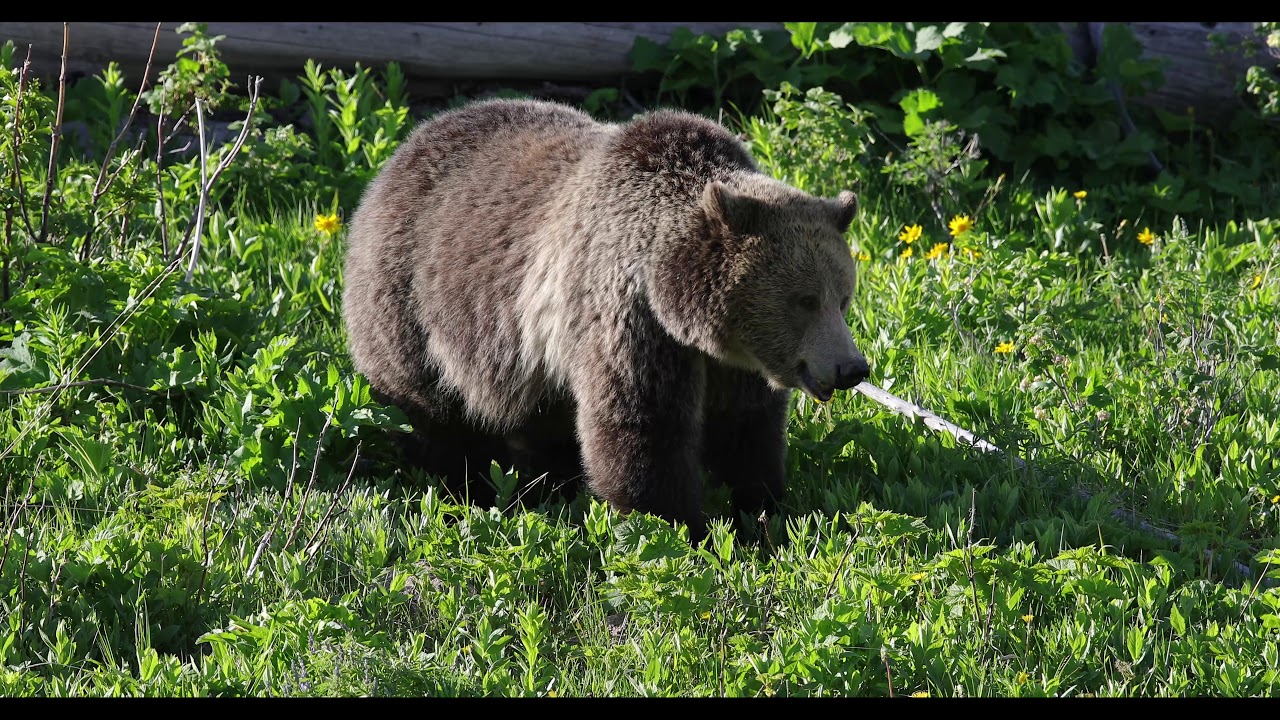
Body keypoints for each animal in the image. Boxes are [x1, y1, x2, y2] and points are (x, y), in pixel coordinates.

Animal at [342, 98, 870, 541]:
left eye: (843, 298)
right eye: (805, 300)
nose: (851, 368)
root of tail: (405, 147)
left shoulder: (733, 362)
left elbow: (746, 428)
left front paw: (763, 512)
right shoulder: (627, 317)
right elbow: (643, 428)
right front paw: (679, 527)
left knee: (543, 423)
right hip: (413, 302)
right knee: (436, 414)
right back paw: (465, 486)